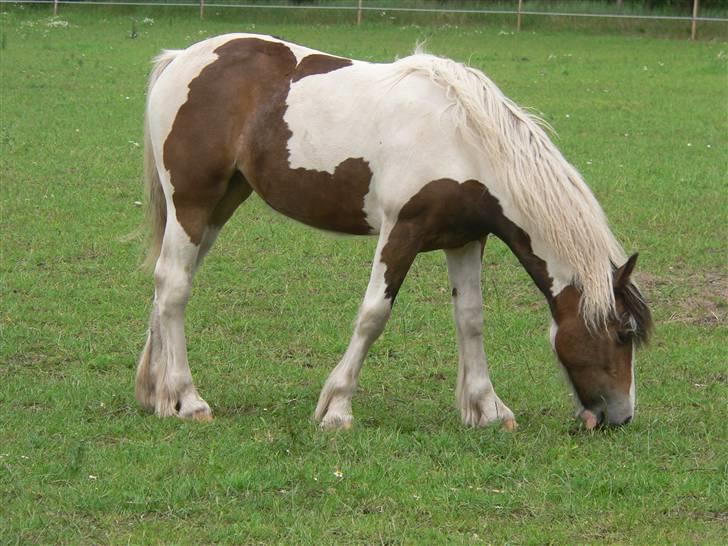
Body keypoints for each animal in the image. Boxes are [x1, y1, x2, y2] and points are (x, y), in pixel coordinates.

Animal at [136, 34, 656, 430]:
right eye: (623, 334)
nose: (621, 416)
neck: (465, 141)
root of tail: (179, 59)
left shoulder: (464, 239)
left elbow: (470, 318)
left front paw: (487, 409)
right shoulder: (401, 232)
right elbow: (373, 315)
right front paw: (337, 409)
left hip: (218, 206)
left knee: (167, 283)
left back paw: (157, 394)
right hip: (192, 202)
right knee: (176, 287)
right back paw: (188, 399)